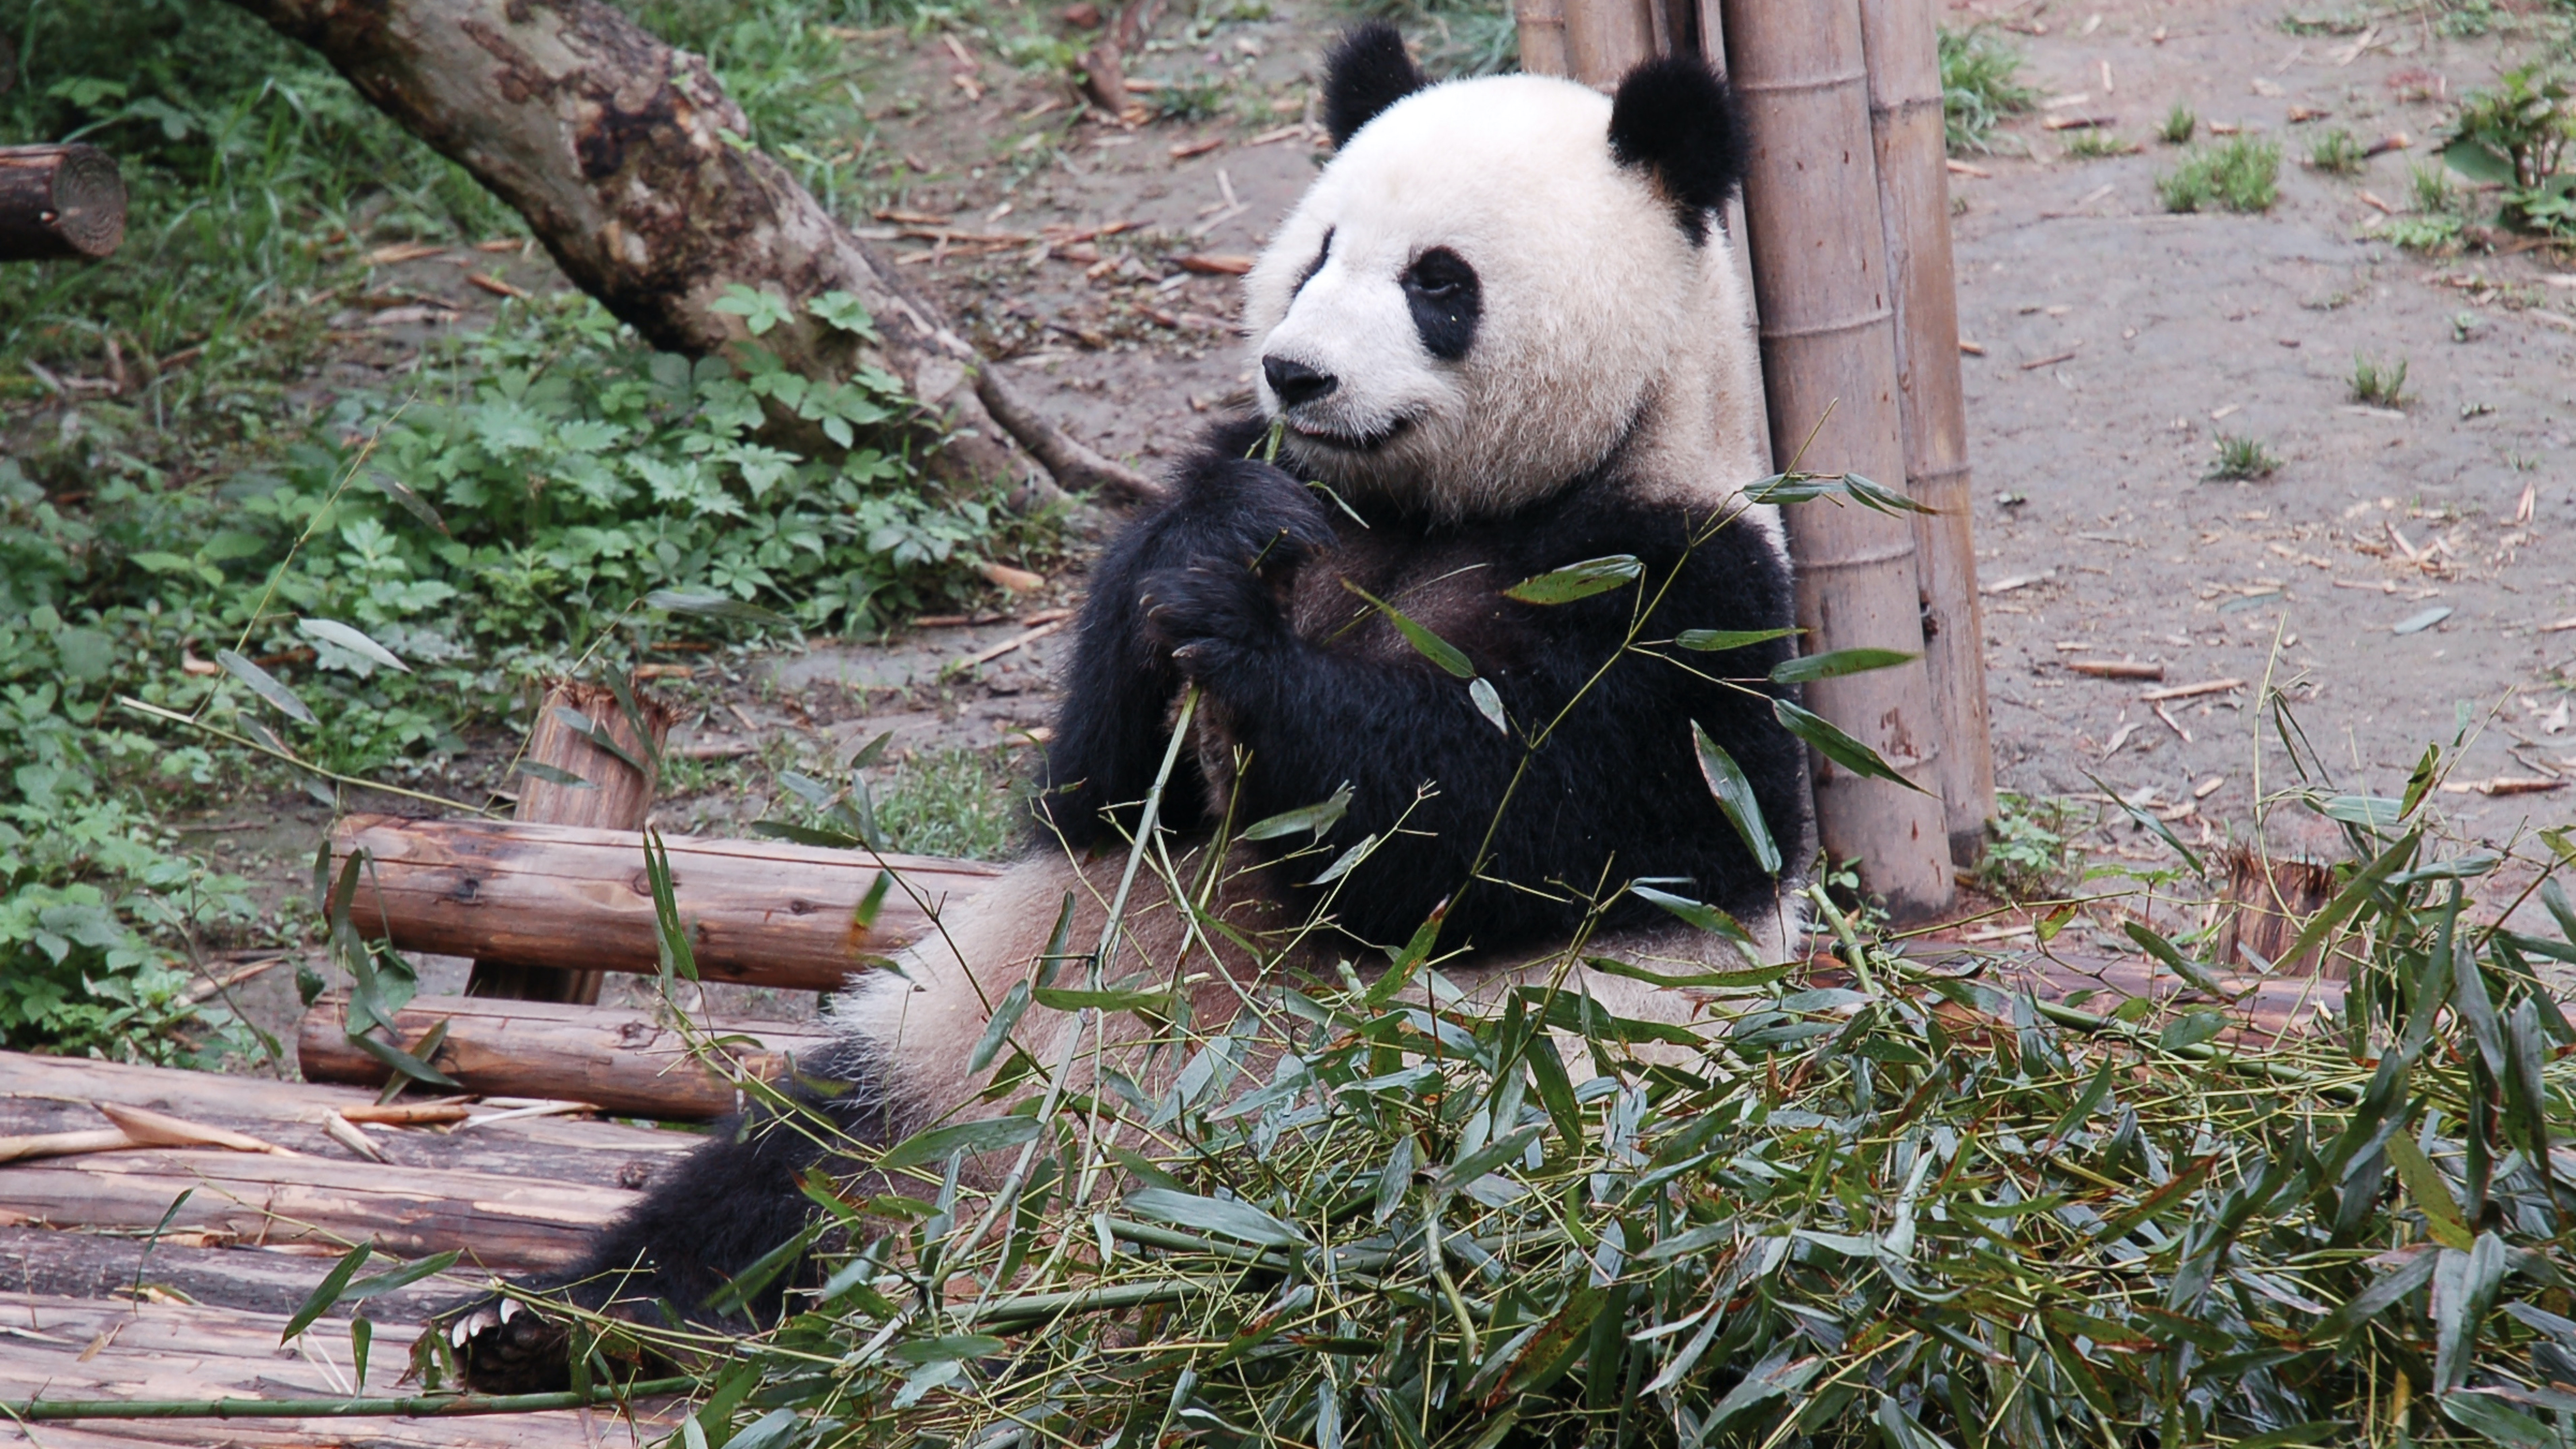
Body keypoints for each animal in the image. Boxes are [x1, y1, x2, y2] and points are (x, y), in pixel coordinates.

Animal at [453, 28, 1803, 1390]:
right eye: (1317, 251)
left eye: (1438, 282)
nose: (1296, 373)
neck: (1436, 513)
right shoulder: (1286, 492)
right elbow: (1097, 788)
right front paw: (1212, 550)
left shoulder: (1683, 594)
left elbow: (1494, 823)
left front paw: (1251, 655)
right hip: (954, 1055)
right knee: (795, 1163)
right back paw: (558, 1320)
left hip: (1449, 1144)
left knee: (1334, 1249)